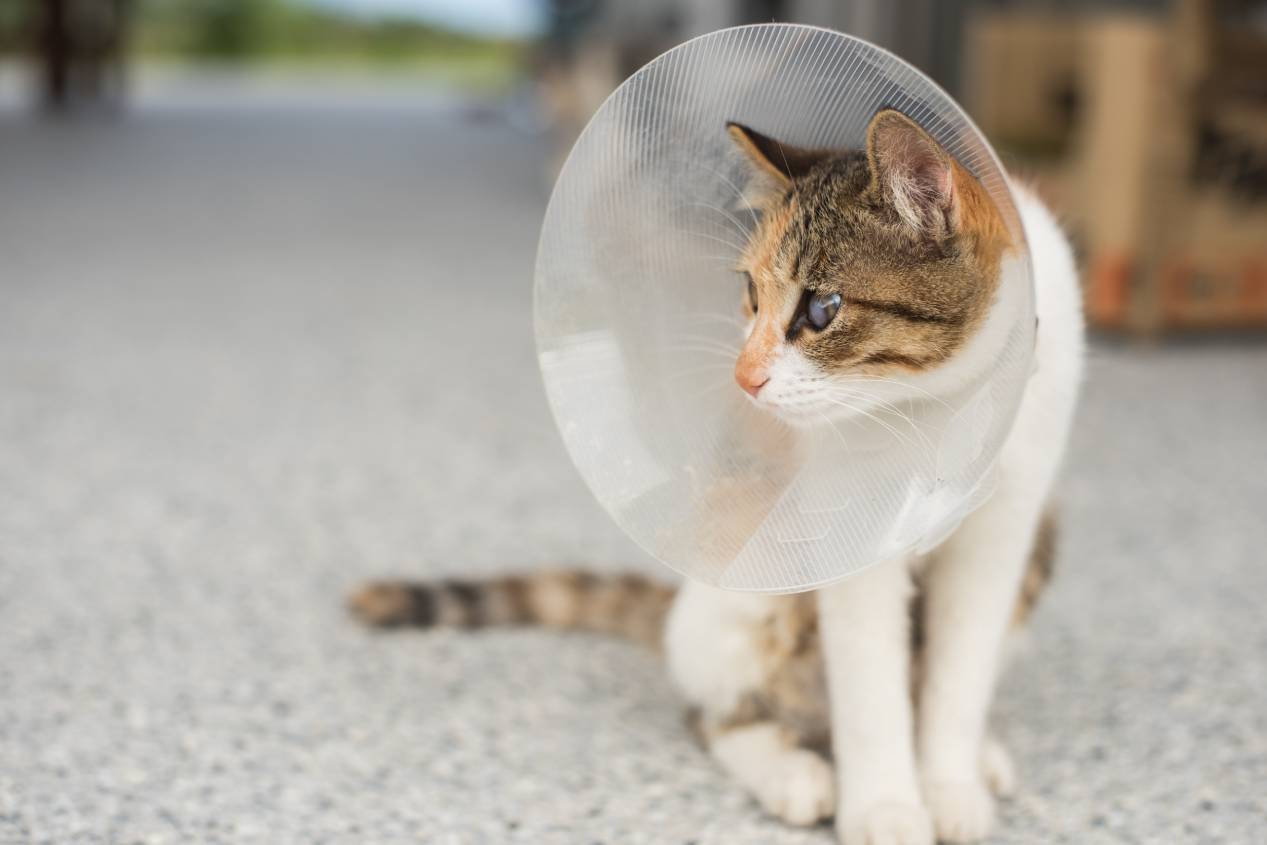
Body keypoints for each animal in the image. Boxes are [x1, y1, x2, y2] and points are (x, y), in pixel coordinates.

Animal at [352, 107, 1084, 845]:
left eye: (822, 308)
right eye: (751, 292)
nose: (744, 375)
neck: (939, 411)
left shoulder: (1003, 532)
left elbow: (957, 676)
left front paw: (948, 786)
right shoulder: (855, 539)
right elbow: (870, 688)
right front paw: (885, 808)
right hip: (753, 587)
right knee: (717, 714)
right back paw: (795, 774)